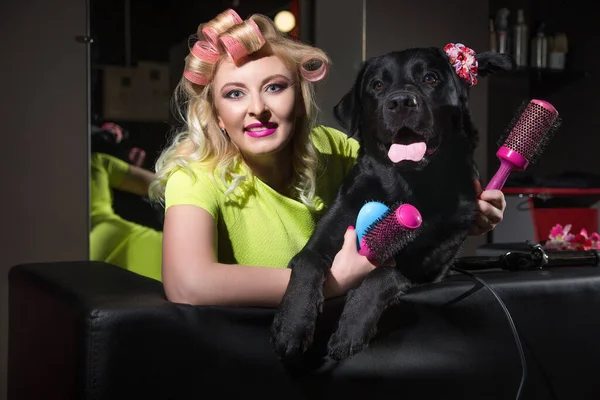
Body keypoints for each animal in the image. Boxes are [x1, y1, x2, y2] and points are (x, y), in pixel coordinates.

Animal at [270, 44, 510, 362]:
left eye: (431, 78)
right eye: (377, 85)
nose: (401, 102)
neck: (404, 187)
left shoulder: (425, 269)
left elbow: (383, 274)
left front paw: (351, 329)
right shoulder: (325, 235)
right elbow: (307, 263)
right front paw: (291, 327)